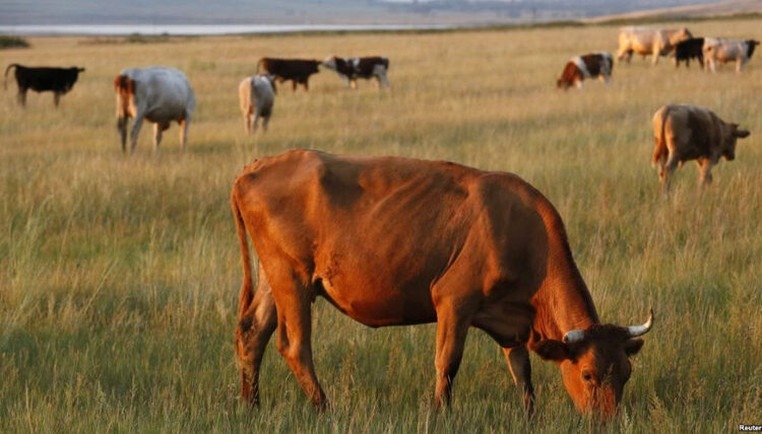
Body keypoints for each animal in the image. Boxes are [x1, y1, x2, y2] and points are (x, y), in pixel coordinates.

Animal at [232, 148, 652, 418]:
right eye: (588, 374)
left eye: (626, 373)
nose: (608, 423)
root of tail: (255, 167)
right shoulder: (454, 298)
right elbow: (447, 361)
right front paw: (439, 412)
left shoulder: (511, 324)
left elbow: (522, 371)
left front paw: (530, 415)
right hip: (293, 278)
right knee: (295, 345)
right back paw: (324, 408)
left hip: (275, 277)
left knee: (253, 333)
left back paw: (252, 405)